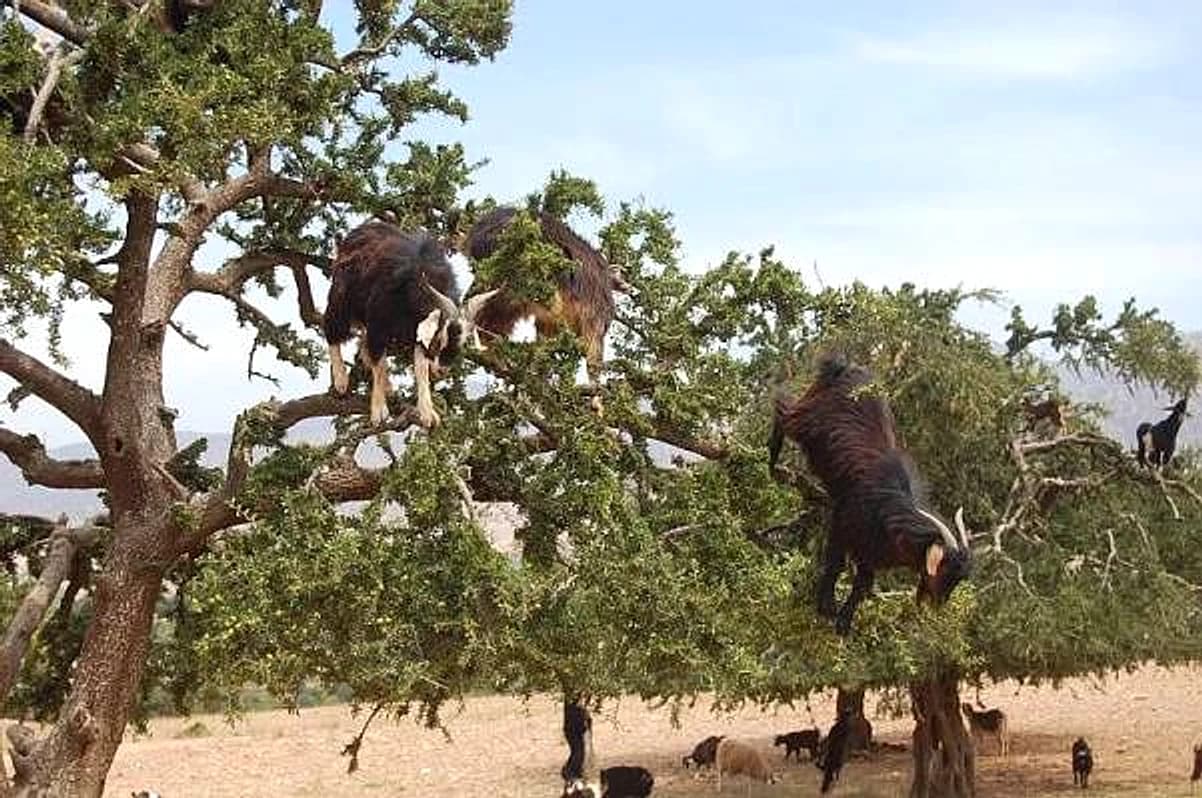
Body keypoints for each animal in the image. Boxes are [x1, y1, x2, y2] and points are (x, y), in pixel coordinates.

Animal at [323, 221, 496, 428]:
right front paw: (378, 411)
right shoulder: (378, 324)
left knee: (365, 347)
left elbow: (419, 368)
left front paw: (428, 413)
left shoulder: (416, 333)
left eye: (462, 342)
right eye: (438, 340)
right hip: (341, 298)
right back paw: (341, 380)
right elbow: (379, 364)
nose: (442, 369)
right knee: (332, 329)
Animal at [463, 207, 625, 411]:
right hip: (519, 265)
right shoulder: (596, 311)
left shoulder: (553, 321)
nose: (627, 285)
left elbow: (544, 343)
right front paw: (596, 398)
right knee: (496, 302)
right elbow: (593, 351)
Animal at [768, 353, 973, 634]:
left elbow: (863, 584)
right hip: (806, 420)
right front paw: (826, 607)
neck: (890, 506)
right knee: (782, 407)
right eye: (945, 568)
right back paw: (770, 462)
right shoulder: (843, 519)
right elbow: (835, 563)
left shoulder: (872, 549)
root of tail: (844, 366)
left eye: (960, 578)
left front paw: (844, 623)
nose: (935, 604)